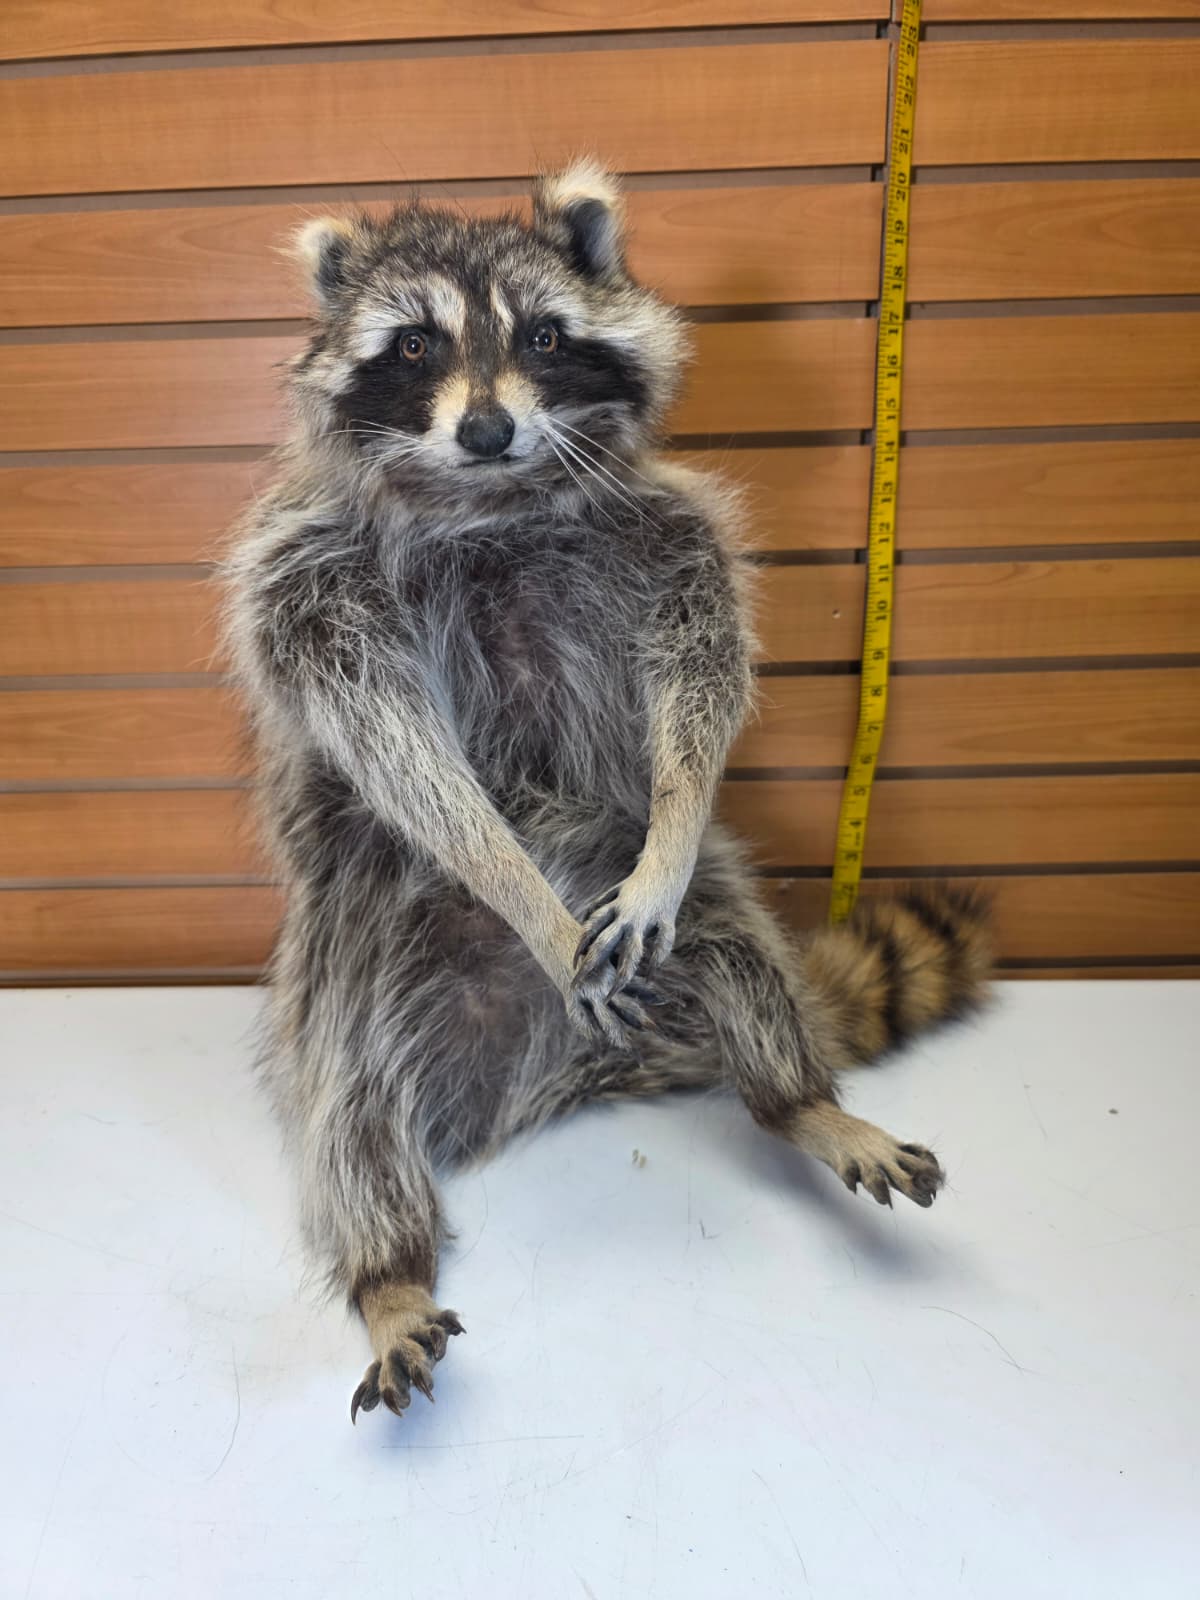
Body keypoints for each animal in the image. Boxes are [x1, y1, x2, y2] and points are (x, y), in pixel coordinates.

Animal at [224, 160, 991, 1425]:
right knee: (351, 1118)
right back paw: (388, 1268)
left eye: (543, 334)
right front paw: (508, 874)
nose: (487, 427)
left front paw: (677, 821)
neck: (489, 500)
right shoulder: (308, 581)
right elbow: (391, 746)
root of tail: (543, 1074)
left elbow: (702, 676)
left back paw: (802, 1098)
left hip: (670, 899)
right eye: (415, 345)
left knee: (743, 957)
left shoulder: (669, 534)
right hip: (349, 962)